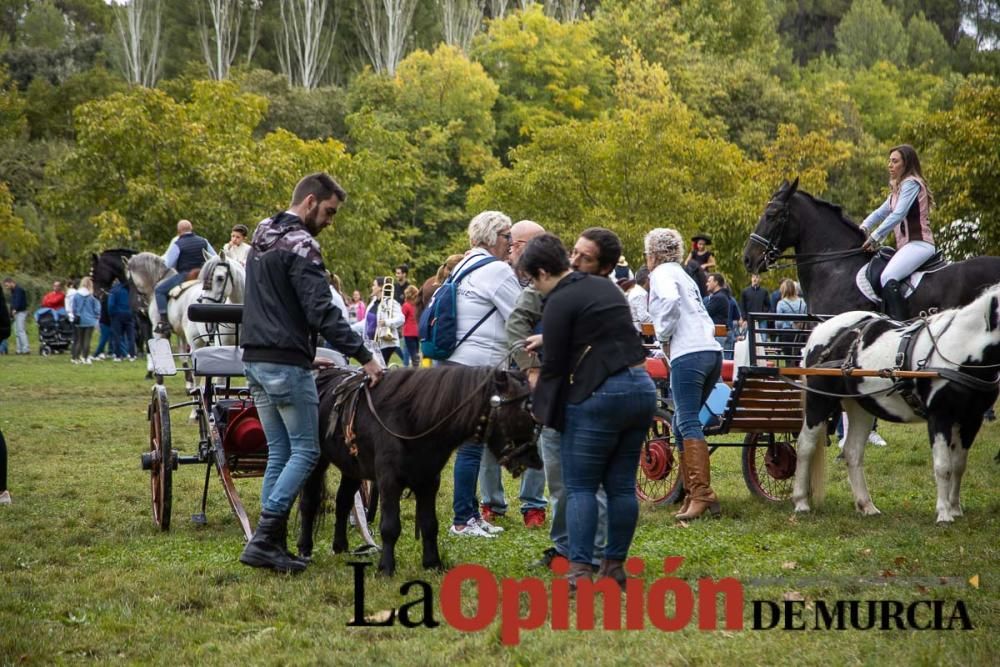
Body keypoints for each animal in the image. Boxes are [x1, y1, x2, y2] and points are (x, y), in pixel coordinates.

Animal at [296, 362, 544, 576]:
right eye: (525, 408)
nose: (534, 459)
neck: (413, 418)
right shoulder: (389, 481)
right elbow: (390, 526)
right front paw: (386, 568)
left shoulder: (428, 482)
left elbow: (429, 524)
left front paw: (432, 563)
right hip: (317, 461)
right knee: (309, 503)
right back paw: (304, 549)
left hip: (353, 468)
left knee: (343, 501)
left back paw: (340, 546)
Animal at [788, 284, 1000, 524]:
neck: (960, 347)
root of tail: (821, 328)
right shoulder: (940, 417)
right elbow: (943, 466)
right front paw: (944, 513)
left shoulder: (971, 419)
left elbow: (958, 466)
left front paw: (955, 507)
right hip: (819, 401)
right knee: (805, 445)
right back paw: (801, 501)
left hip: (860, 406)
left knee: (852, 451)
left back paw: (866, 505)